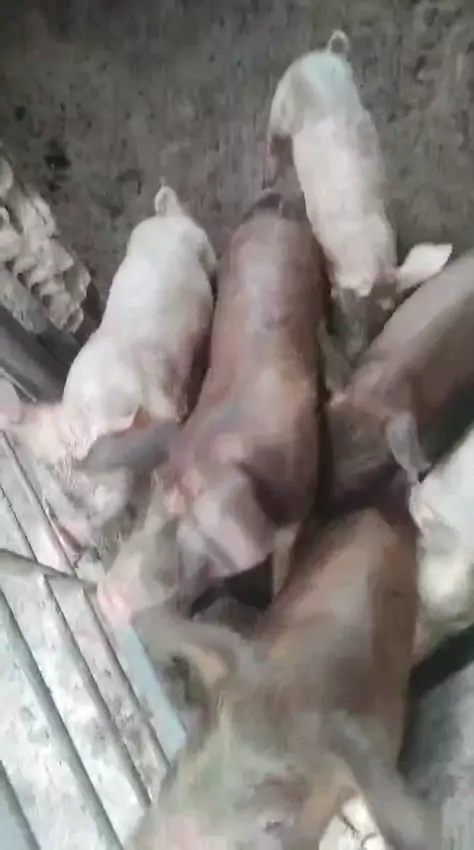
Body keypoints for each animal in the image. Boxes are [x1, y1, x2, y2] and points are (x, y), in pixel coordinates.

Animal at [0, 185, 216, 555]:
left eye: (84, 489)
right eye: (50, 486)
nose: (66, 541)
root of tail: (165, 216)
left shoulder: (159, 394)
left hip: (205, 247)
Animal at [264, 29, 451, 359]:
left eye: (387, 314)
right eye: (350, 314)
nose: (357, 354)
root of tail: (319, 55)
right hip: (281, 104)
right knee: (273, 140)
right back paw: (268, 177)